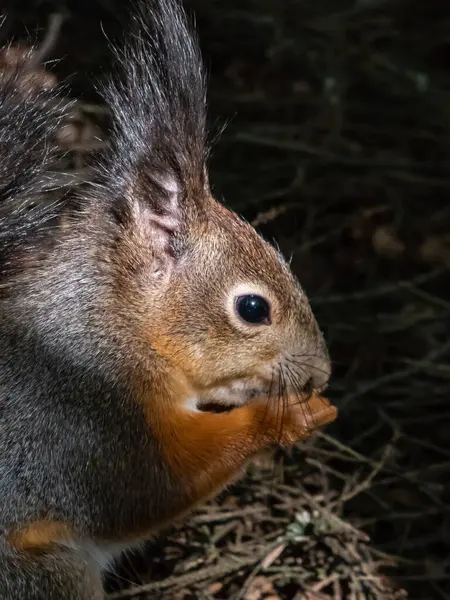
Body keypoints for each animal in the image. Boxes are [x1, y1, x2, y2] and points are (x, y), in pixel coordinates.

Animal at [0, 2, 336, 596]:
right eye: (253, 309)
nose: (322, 373)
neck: (116, 326)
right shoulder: (76, 420)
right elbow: (151, 489)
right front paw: (286, 418)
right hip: (42, 573)